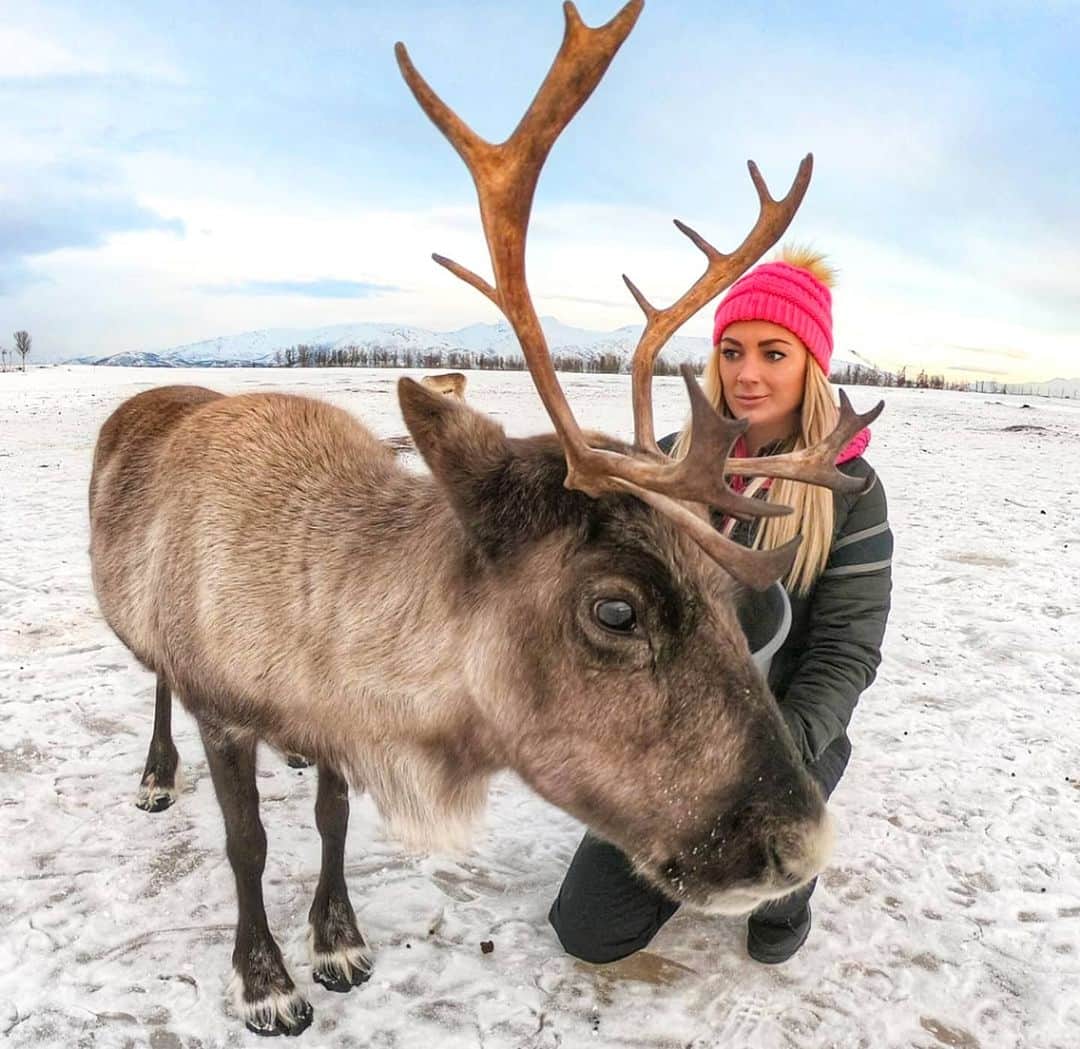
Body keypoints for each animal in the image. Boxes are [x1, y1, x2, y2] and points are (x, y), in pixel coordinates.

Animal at [88, 0, 882, 1037]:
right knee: (152, 681)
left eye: (725, 591)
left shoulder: (334, 722)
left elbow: (332, 821)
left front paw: (337, 940)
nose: (805, 841)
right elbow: (247, 842)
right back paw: (153, 773)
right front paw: (266, 980)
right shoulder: (223, 707)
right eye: (615, 608)